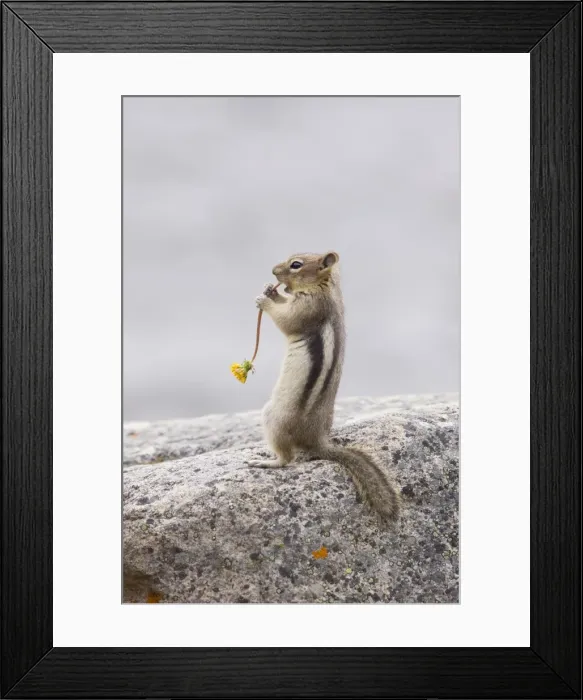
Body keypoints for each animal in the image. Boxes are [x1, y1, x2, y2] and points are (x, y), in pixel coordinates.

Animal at [247, 251, 400, 524]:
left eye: (296, 265)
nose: (273, 271)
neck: (324, 287)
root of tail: (317, 441)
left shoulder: (308, 309)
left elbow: (286, 320)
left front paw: (265, 300)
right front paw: (271, 291)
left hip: (272, 417)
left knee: (287, 459)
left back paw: (266, 462)